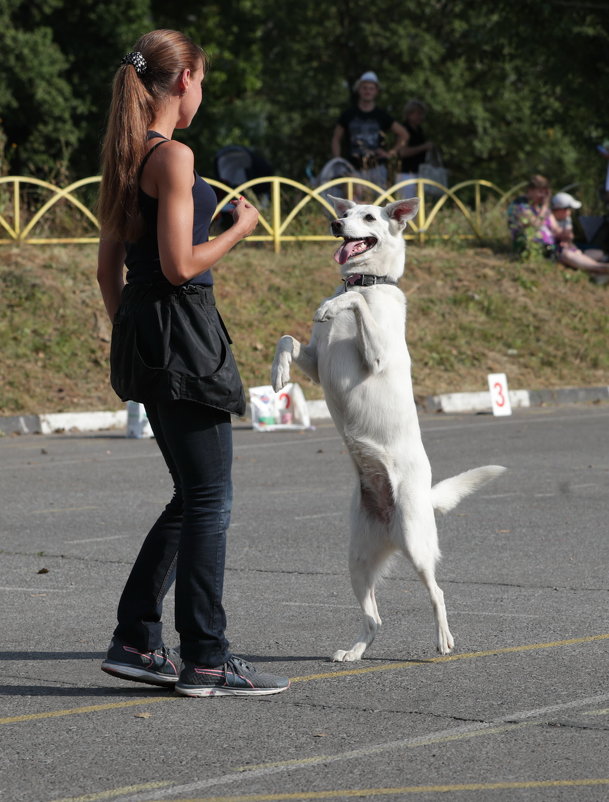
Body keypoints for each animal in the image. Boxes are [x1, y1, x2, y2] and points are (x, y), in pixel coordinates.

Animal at [270, 192, 504, 656]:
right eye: (344, 212)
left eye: (368, 216)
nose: (334, 223)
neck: (364, 280)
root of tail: (391, 527)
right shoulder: (316, 363)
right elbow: (287, 339)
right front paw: (279, 373)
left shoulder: (375, 355)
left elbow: (355, 303)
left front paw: (332, 306)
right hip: (357, 561)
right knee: (374, 618)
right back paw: (355, 651)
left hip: (415, 542)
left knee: (437, 592)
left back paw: (444, 639)